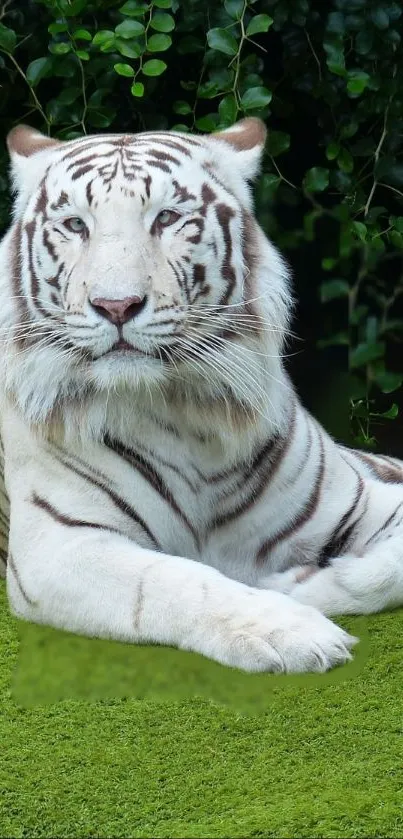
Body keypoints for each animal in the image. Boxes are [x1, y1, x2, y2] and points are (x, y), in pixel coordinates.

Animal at [0, 116, 402, 676]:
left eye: (167, 218)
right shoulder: (57, 545)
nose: (116, 305)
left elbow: (388, 569)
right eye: (76, 225)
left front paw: (297, 586)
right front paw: (291, 629)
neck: (186, 412)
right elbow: (175, 580)